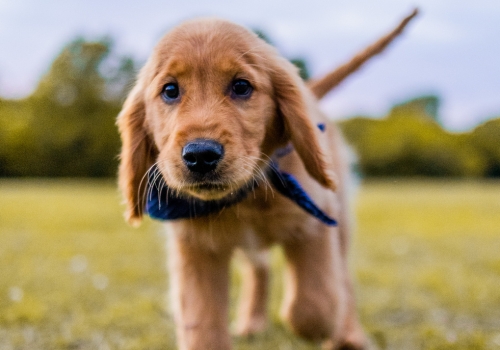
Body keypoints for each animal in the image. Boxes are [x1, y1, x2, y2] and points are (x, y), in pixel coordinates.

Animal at [117, 9, 418, 348]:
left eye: (241, 86)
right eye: (170, 90)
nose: (200, 155)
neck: (247, 196)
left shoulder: (315, 223)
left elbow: (315, 304)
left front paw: (322, 328)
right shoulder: (196, 249)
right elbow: (202, 325)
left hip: (340, 220)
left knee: (343, 279)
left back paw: (349, 334)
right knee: (259, 268)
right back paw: (252, 321)